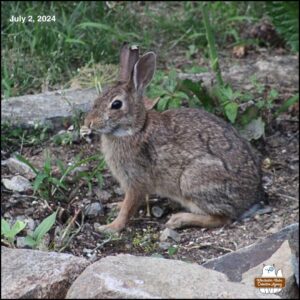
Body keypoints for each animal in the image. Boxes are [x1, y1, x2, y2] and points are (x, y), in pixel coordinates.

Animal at [83, 42, 264, 234]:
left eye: (116, 104)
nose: (89, 123)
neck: (136, 129)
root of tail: (249, 200)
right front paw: (116, 205)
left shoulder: (135, 180)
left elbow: (129, 207)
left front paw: (110, 227)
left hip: (192, 180)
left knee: (222, 218)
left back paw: (178, 220)